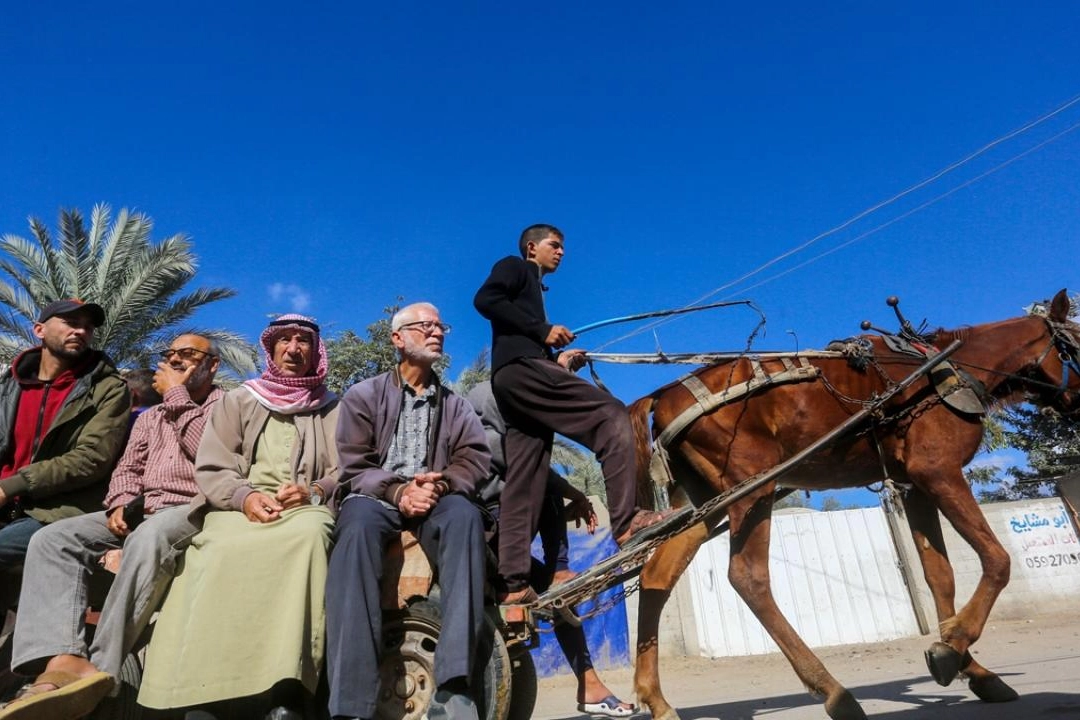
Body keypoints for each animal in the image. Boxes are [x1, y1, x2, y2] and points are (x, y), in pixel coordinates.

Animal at [630, 289, 1075, 720]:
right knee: (748, 577)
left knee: (657, 576)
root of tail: (662, 397)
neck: (949, 367)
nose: (1075, 402)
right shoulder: (938, 470)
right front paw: (954, 647)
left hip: (707, 501)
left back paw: (656, 699)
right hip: (752, 489)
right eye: (1074, 341)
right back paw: (833, 691)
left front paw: (967, 663)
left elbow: (939, 576)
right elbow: (997, 559)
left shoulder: (912, 484)